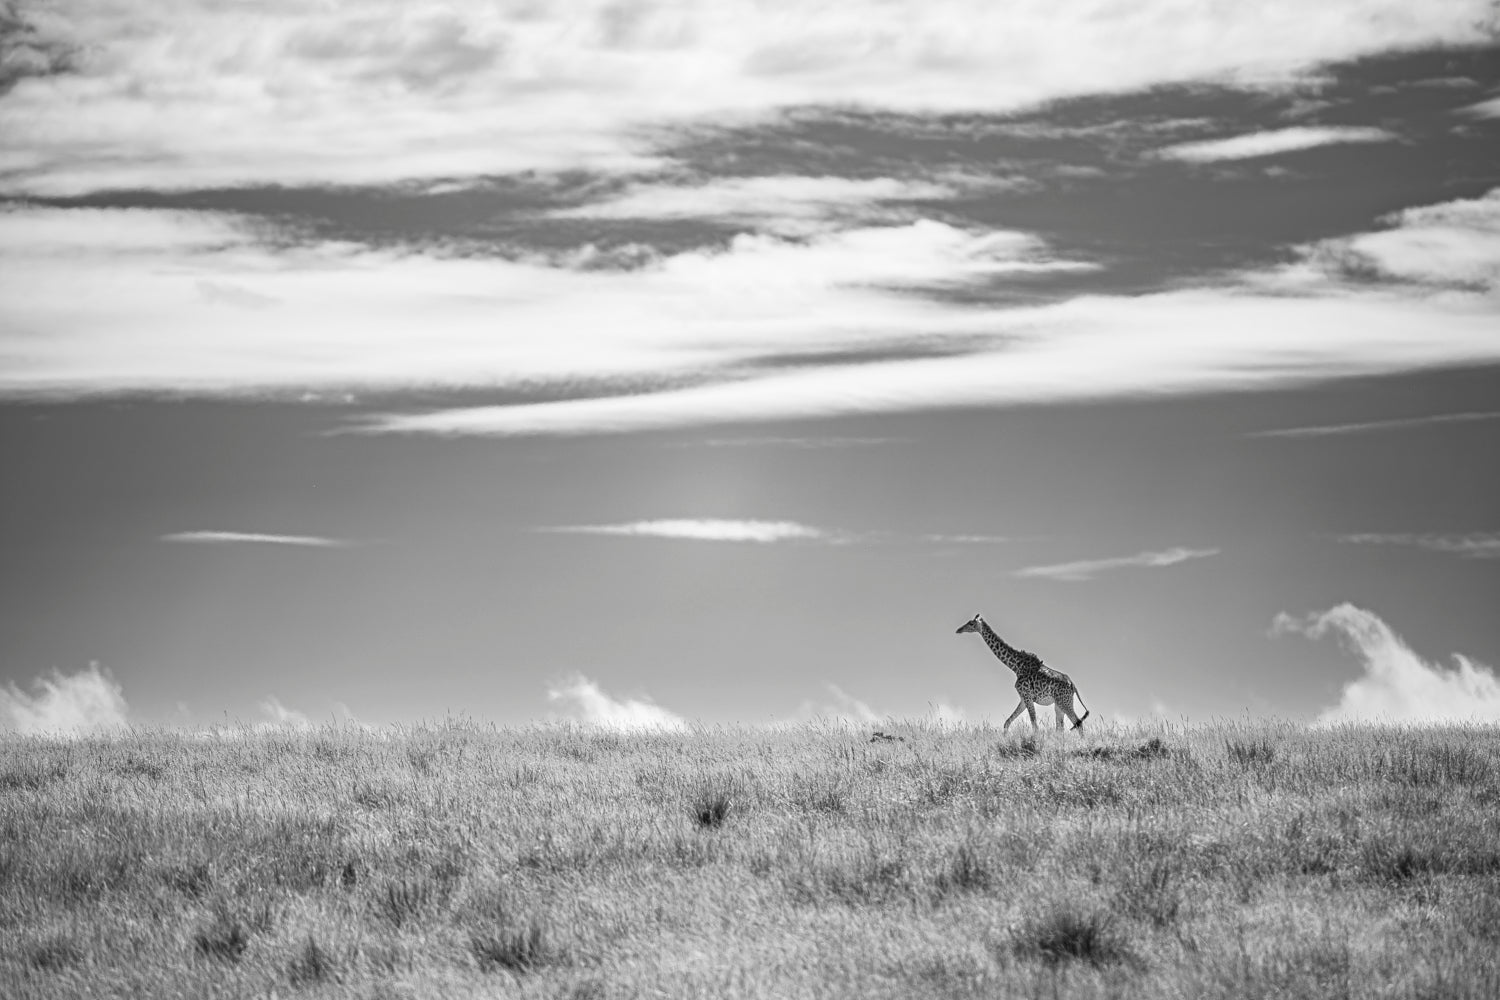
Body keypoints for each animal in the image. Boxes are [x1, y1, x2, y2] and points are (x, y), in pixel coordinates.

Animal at [956, 613, 1090, 730]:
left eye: (971, 623)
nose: (958, 630)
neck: (1016, 666)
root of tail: (1072, 685)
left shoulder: (1027, 696)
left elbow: (1034, 726)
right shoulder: (1023, 699)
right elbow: (1007, 723)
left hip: (1064, 702)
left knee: (1078, 723)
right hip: (1058, 705)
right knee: (1061, 728)